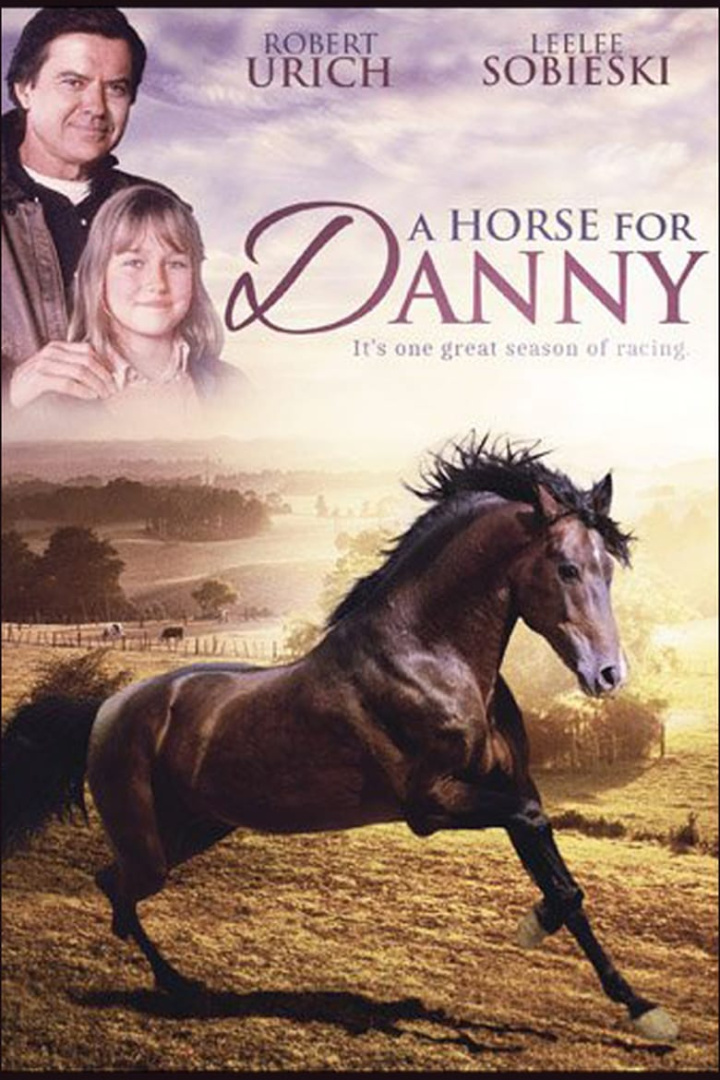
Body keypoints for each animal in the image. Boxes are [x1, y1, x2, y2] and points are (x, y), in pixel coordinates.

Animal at [0, 435, 678, 1042]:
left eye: (608, 569)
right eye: (566, 567)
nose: (608, 675)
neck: (430, 655)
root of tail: (107, 708)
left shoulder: (508, 790)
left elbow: (566, 884)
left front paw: (645, 1011)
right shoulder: (433, 805)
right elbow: (547, 856)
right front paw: (532, 927)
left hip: (196, 828)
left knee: (110, 887)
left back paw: (178, 984)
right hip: (150, 844)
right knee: (118, 890)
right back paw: (181, 986)